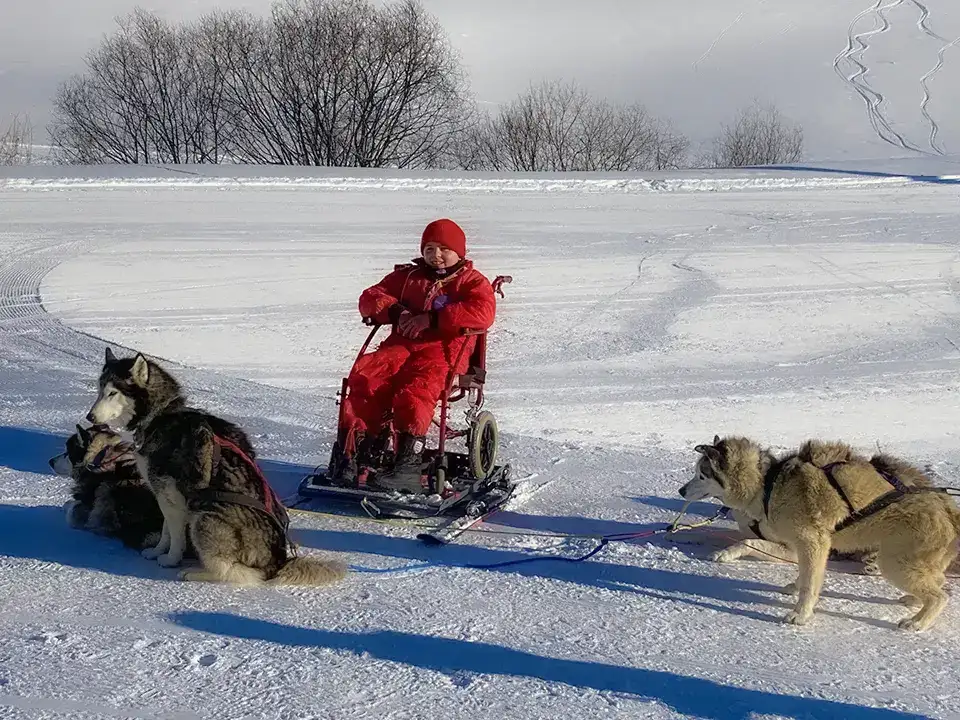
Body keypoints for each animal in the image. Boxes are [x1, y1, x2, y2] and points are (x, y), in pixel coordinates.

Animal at [86, 348, 348, 592]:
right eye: (99, 389)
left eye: (113, 392)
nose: (90, 416)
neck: (162, 416)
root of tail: (277, 563)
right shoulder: (166, 496)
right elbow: (166, 531)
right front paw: (157, 551)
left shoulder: (172, 498)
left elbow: (175, 536)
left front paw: (170, 559)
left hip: (204, 516)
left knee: (237, 573)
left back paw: (194, 572)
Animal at [680, 434, 956, 632]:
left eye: (701, 475)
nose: (681, 491)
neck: (767, 485)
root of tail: (948, 508)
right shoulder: (800, 546)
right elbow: (803, 575)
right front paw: (794, 586)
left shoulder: (810, 543)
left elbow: (808, 582)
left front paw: (800, 614)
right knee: (938, 580)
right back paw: (915, 601)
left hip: (893, 564)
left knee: (940, 596)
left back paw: (918, 621)